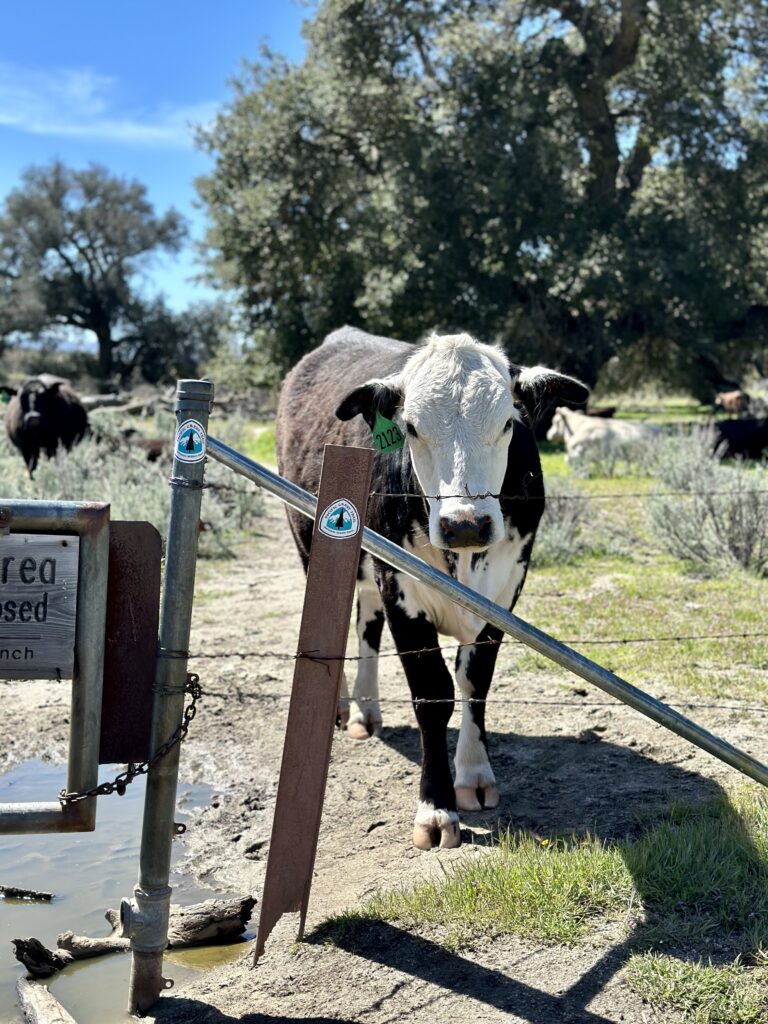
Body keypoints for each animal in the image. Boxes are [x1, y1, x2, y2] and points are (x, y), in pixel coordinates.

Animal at [276, 327, 589, 847]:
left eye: (508, 422)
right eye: (412, 427)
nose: (465, 524)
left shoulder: (506, 591)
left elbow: (475, 682)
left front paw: (474, 776)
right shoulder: (401, 589)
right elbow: (433, 694)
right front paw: (436, 809)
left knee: (366, 624)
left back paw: (366, 711)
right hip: (312, 542)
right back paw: (341, 707)